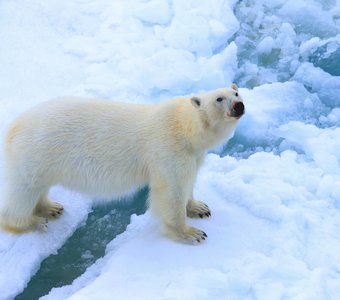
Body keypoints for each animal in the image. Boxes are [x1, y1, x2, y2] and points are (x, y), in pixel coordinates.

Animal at [0, 84, 244, 244]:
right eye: (219, 99)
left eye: (236, 92)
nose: (239, 106)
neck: (185, 127)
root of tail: (13, 127)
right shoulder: (168, 149)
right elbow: (171, 190)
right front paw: (192, 233)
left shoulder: (193, 154)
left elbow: (189, 180)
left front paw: (199, 208)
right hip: (34, 154)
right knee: (23, 192)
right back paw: (31, 222)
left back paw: (51, 207)